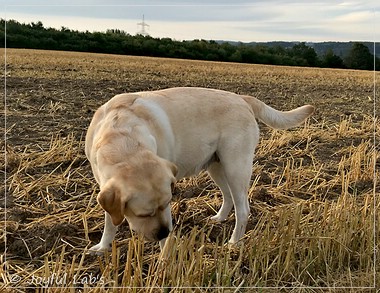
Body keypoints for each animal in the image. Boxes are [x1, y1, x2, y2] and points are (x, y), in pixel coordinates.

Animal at [86, 86, 314, 251]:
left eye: (166, 204)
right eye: (143, 214)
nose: (164, 233)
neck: (122, 136)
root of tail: (242, 98)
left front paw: (163, 260)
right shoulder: (105, 187)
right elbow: (110, 221)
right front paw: (103, 247)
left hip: (236, 167)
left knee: (243, 209)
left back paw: (234, 243)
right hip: (216, 166)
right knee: (228, 196)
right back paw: (220, 218)